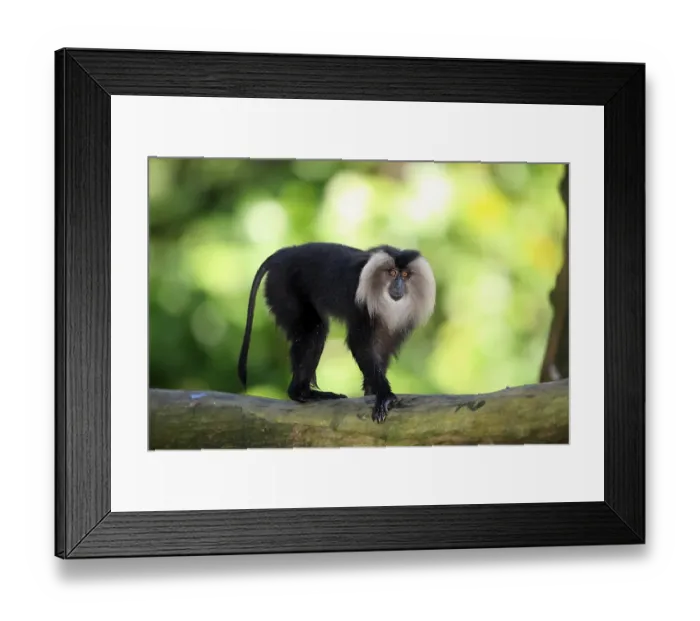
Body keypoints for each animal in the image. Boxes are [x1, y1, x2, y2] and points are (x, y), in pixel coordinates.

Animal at [237, 242, 436, 423]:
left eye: (405, 275)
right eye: (392, 273)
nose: (398, 285)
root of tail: (284, 254)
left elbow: (383, 348)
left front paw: (371, 391)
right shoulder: (360, 303)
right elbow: (360, 344)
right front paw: (384, 395)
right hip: (282, 286)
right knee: (314, 330)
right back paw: (301, 393)